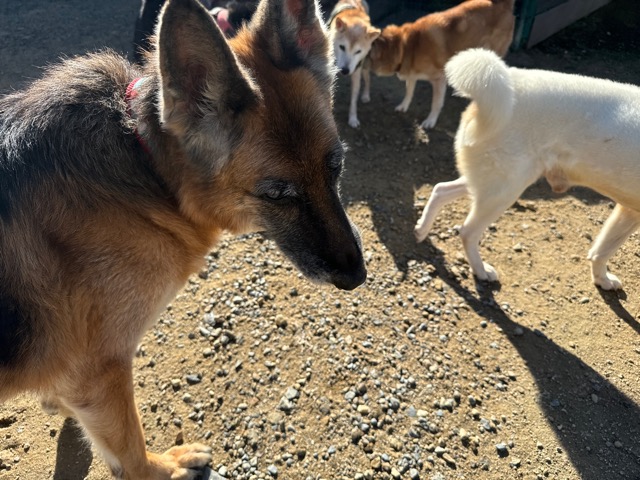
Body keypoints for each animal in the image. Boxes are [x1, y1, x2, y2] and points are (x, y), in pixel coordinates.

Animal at [0, 0, 366, 477]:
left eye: (335, 167)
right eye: (277, 194)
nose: (357, 277)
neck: (150, 166)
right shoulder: (99, 372)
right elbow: (130, 450)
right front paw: (164, 467)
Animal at [361, 0, 514, 130]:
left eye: (362, 52)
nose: (356, 68)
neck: (406, 47)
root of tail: (504, 3)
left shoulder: (439, 80)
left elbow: (436, 103)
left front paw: (430, 121)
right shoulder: (412, 75)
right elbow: (409, 92)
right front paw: (403, 106)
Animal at [415, 48, 640, 290]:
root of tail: (507, 81)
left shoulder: (629, 210)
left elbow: (602, 251)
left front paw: (602, 280)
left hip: (491, 180)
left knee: (441, 189)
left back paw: (421, 230)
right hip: (505, 190)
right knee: (467, 231)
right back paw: (481, 270)